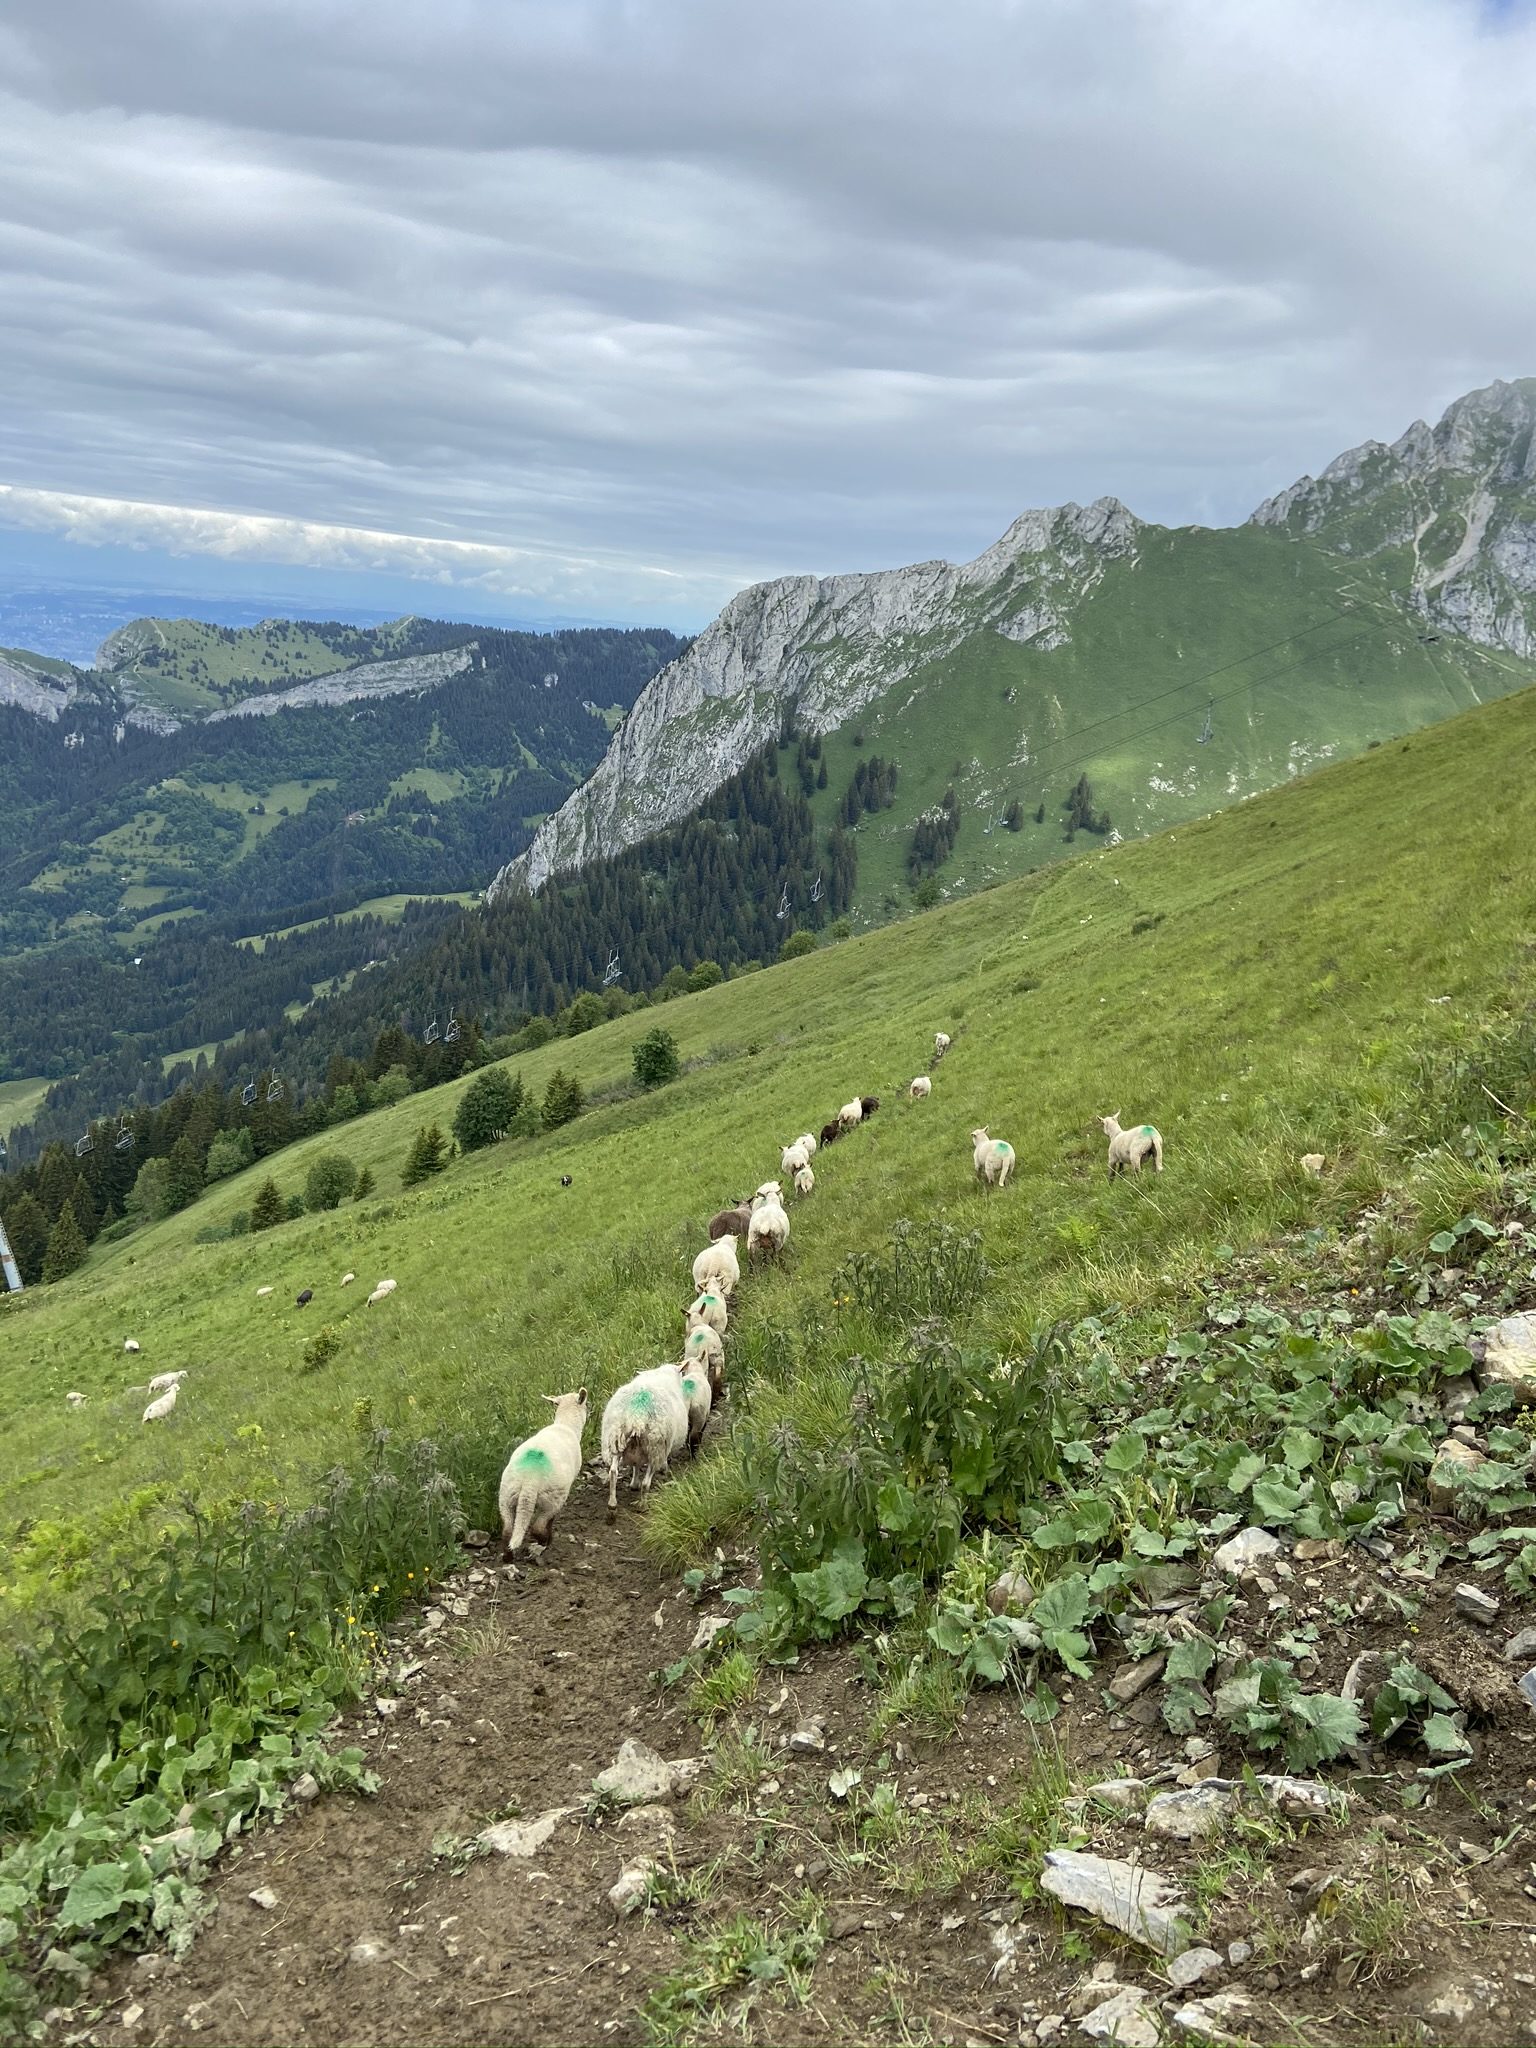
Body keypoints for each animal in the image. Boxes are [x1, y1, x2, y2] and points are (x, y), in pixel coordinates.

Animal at [497, 1388, 589, 1559]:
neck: (565, 1424)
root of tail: (530, 1479)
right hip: (553, 1497)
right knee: (539, 1526)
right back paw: (545, 1542)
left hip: (505, 1496)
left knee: (507, 1531)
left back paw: (508, 1556)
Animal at [601, 1362, 689, 1512]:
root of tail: (636, 1414)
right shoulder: (665, 1447)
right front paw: (664, 1470)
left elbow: (635, 1465)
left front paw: (633, 1484)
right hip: (656, 1445)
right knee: (646, 1482)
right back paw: (643, 1505)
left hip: (616, 1438)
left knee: (613, 1472)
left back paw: (612, 1503)